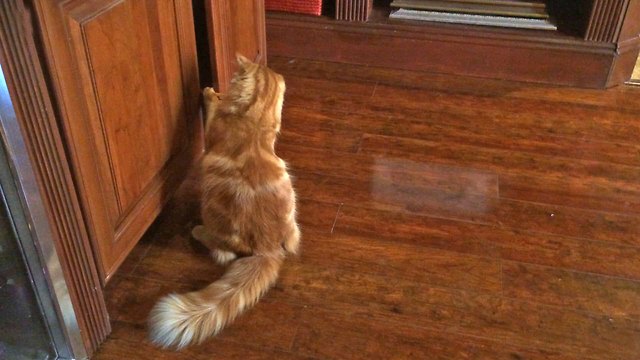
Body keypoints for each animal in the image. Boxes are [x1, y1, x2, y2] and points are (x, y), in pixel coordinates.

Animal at [148, 53, 300, 348]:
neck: (254, 121)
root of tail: (267, 249)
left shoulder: (211, 134)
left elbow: (212, 108)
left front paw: (210, 93)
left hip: (212, 214)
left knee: (220, 250)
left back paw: (197, 230)